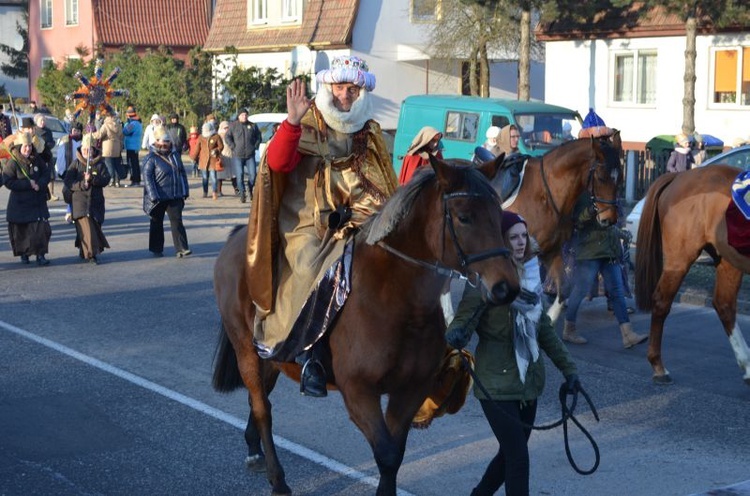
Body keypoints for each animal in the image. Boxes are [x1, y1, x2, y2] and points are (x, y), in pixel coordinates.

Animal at [213, 156, 524, 496]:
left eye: (498, 215)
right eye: (464, 217)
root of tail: (240, 238)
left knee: (259, 400)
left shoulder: (409, 391)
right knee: (263, 409)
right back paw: (278, 479)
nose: (506, 287)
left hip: (272, 355)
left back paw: (254, 449)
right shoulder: (359, 392)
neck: (397, 301)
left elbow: (395, 454)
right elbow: (386, 455)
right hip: (246, 349)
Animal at [496, 134, 624, 316]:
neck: (545, 194)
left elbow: (562, 292)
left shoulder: (551, 250)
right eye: (601, 178)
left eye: (620, 178)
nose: (610, 219)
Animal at [636, 165, 750, 386]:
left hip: (729, 260)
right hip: (679, 259)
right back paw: (658, 367)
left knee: (724, 304)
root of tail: (680, 175)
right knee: (661, 302)